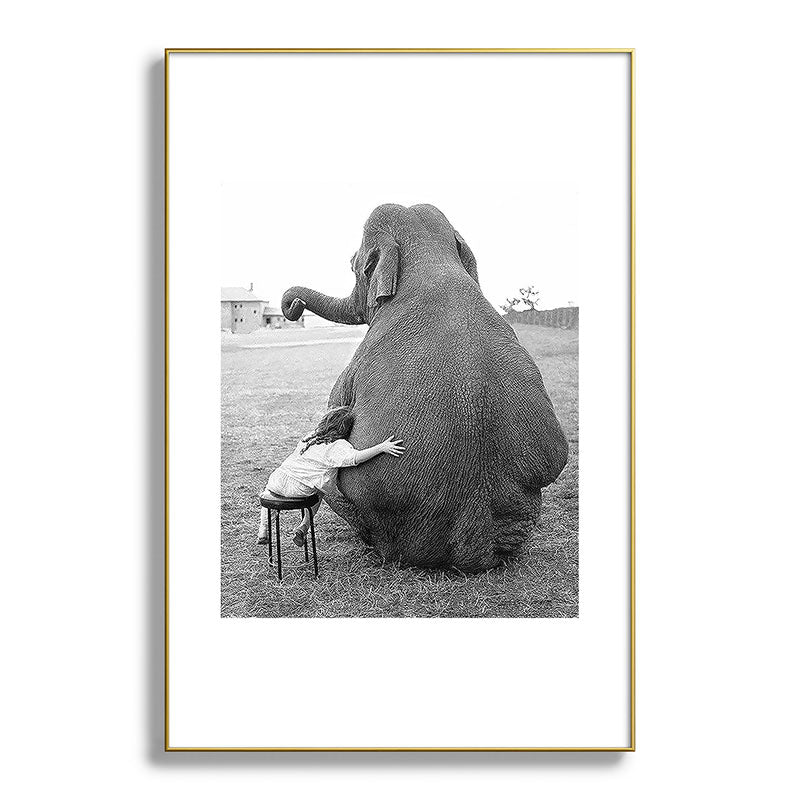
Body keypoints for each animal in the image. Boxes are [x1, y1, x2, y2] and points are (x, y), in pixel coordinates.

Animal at [282, 203, 568, 571]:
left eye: (354, 264)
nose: (293, 307)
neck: (431, 259)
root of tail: (474, 545)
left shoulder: (356, 362)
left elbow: (335, 412)